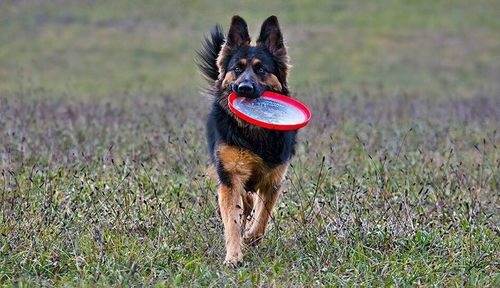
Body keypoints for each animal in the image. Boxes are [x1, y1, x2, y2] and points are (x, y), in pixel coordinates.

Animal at [196, 14, 296, 264]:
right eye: (237, 69)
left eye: (261, 70)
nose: (244, 88)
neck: (254, 133)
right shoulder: (230, 177)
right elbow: (231, 220)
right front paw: (233, 256)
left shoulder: (273, 180)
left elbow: (263, 215)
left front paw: (251, 237)